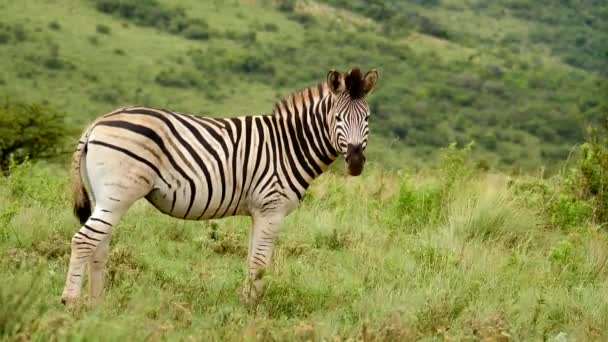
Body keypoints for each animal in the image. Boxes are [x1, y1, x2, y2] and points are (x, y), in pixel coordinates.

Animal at [59, 67, 378, 304]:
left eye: (367, 118)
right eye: (337, 117)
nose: (355, 163)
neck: (289, 145)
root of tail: (98, 121)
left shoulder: (259, 211)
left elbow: (252, 261)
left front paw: (246, 302)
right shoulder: (271, 209)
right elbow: (260, 263)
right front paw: (252, 309)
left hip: (104, 197)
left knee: (98, 244)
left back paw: (97, 303)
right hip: (118, 194)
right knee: (84, 240)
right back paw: (71, 302)